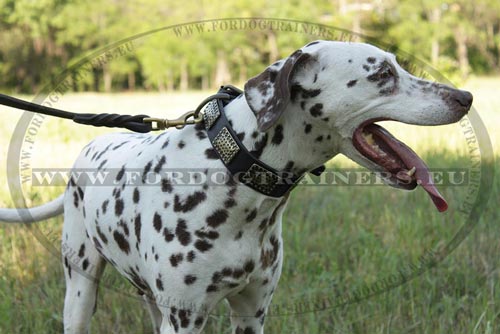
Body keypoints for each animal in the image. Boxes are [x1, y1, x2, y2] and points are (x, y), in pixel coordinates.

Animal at [0, 40, 472, 332]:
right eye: (383, 73)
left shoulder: (251, 312)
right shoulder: (186, 318)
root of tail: (90, 146)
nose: (465, 97)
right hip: (80, 289)